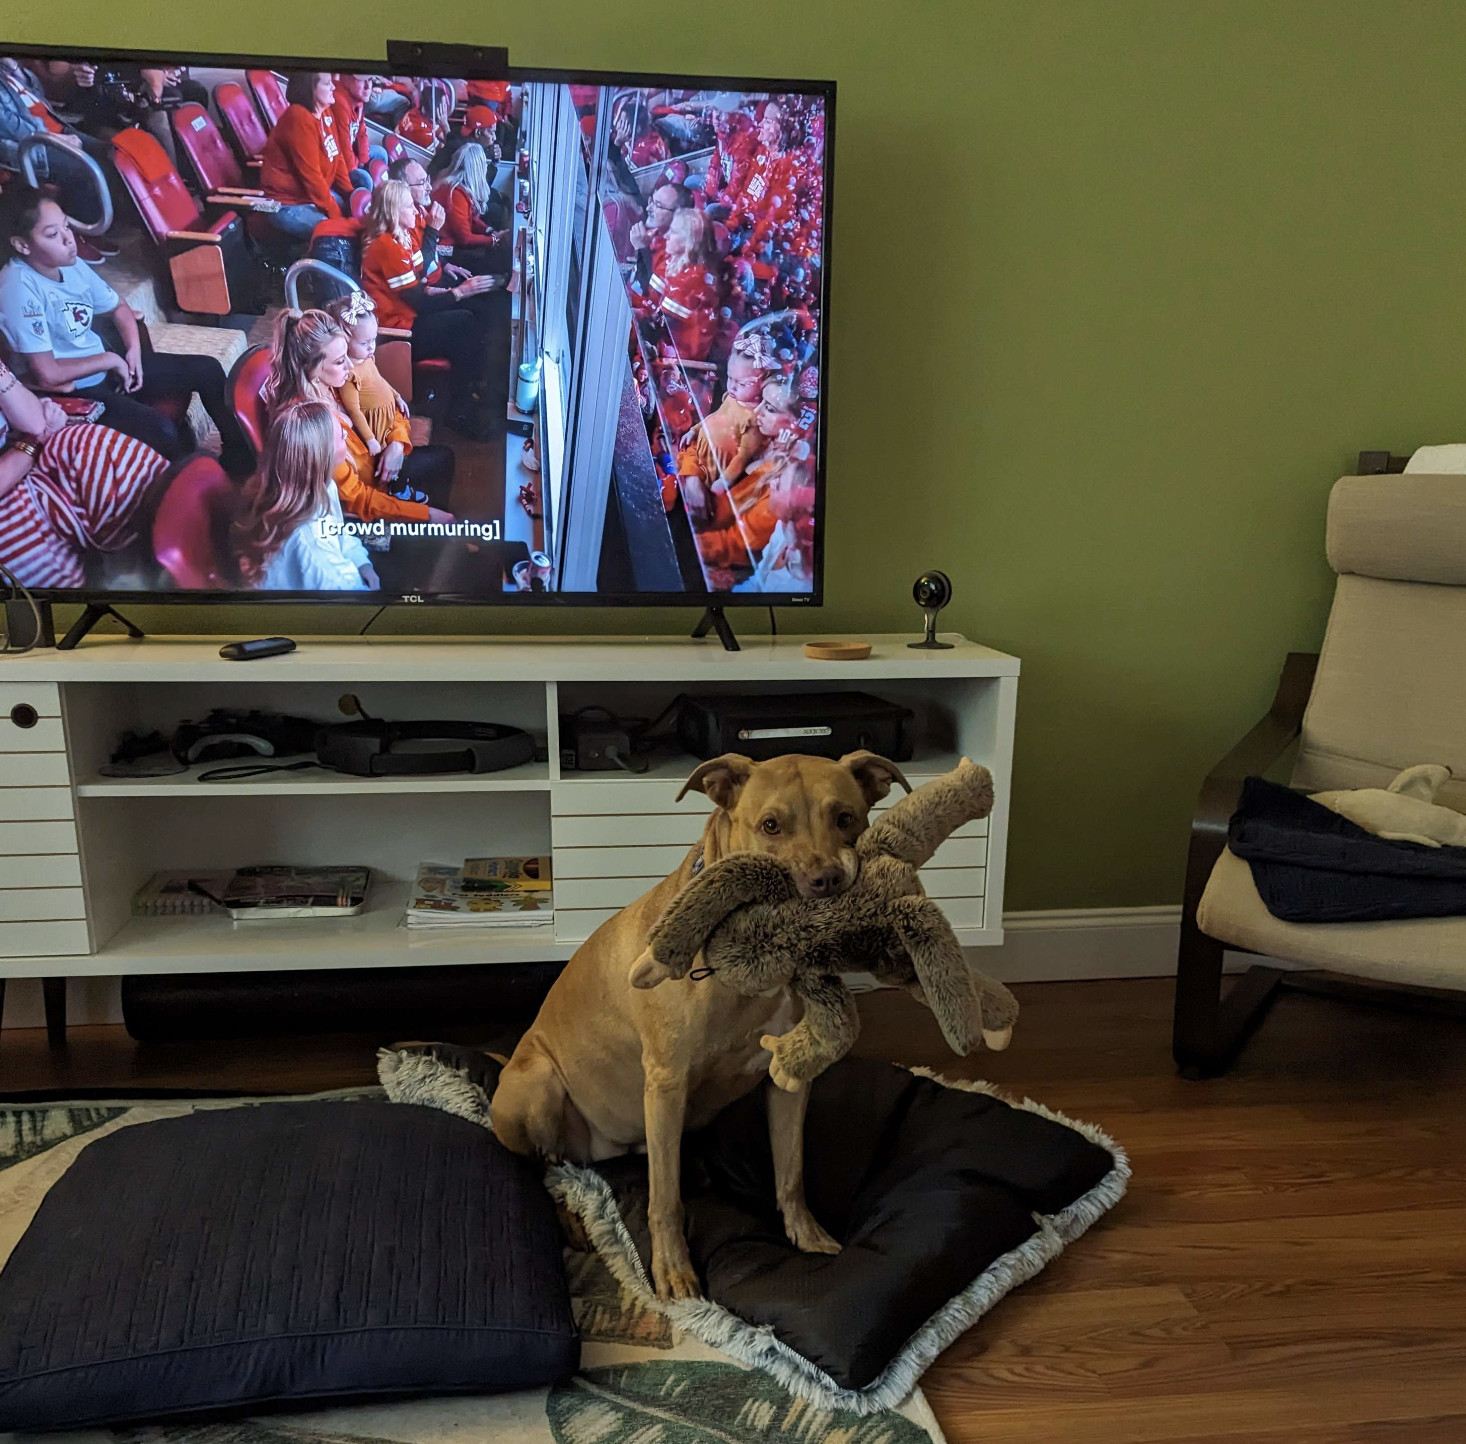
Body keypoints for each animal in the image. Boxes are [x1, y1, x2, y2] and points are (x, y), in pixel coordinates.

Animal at [492, 750, 903, 1301]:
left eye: (845, 818)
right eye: (770, 825)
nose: (828, 881)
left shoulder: (790, 1078)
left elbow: (790, 1170)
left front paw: (807, 1235)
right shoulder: (667, 1083)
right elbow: (664, 1199)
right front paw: (672, 1272)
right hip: (538, 1090)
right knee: (541, 1169)